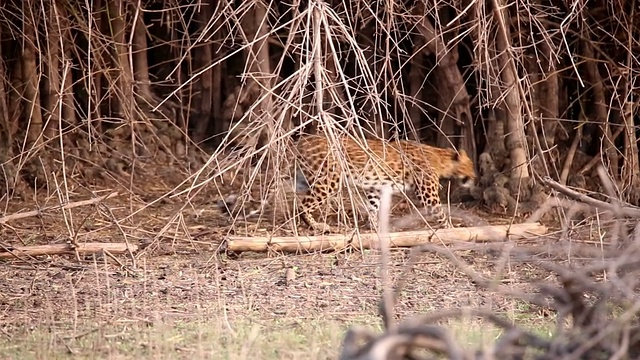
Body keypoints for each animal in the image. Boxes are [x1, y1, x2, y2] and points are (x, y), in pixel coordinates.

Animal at [294, 135, 476, 233]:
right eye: (471, 166)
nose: (476, 178)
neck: (441, 158)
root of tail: (302, 140)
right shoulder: (427, 194)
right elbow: (440, 213)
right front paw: (451, 230)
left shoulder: (375, 188)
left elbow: (373, 207)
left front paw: (375, 227)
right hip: (328, 180)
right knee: (303, 205)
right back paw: (318, 226)